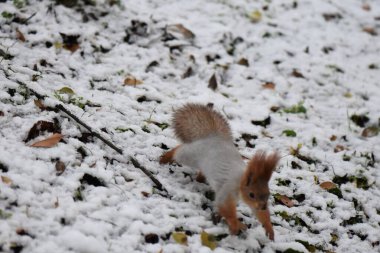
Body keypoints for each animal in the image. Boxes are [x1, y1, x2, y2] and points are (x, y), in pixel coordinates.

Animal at [159, 103, 280, 239]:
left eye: (268, 193)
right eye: (251, 194)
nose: (263, 206)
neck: (241, 181)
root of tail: (213, 137)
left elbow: (257, 212)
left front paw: (269, 227)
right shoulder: (228, 188)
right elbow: (224, 205)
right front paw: (235, 224)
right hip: (191, 155)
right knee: (179, 151)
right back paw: (166, 157)